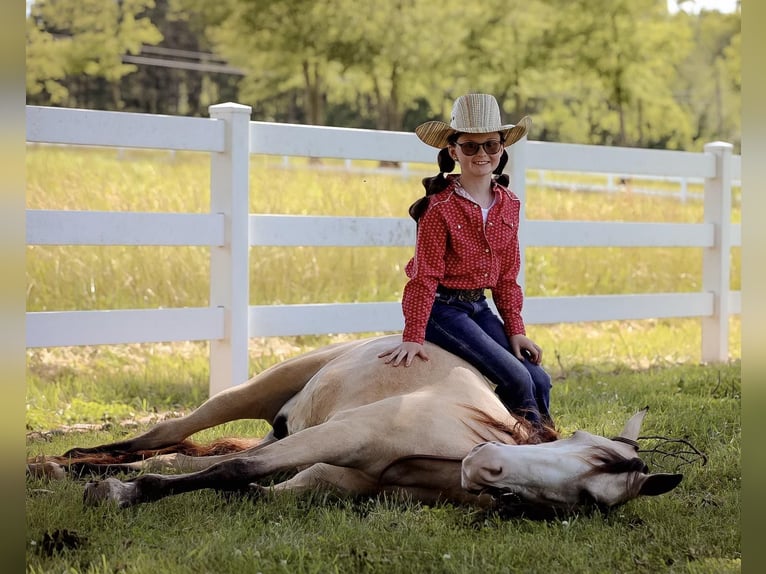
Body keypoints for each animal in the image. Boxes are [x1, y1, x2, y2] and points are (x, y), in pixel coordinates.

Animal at [25, 336, 684, 516]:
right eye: (587, 449)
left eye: (584, 501)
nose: (486, 467)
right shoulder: (340, 437)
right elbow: (234, 468)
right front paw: (121, 494)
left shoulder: (322, 473)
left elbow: (241, 483)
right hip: (255, 393)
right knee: (160, 439)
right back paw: (61, 462)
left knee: (176, 454)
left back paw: (65, 468)